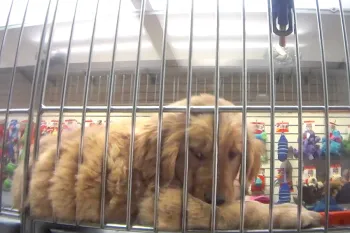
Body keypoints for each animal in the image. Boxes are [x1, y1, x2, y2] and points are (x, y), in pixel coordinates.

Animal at [12, 93, 322, 230]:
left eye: (234, 155)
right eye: (197, 154)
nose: (218, 198)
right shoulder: (164, 205)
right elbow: (236, 212)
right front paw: (290, 213)